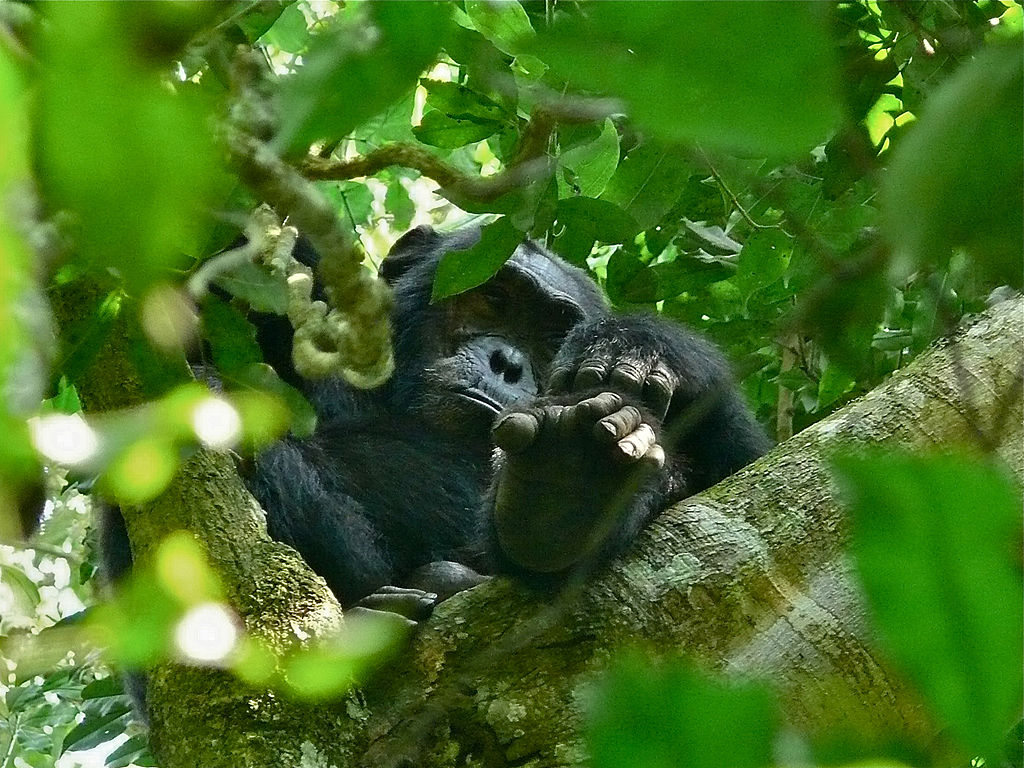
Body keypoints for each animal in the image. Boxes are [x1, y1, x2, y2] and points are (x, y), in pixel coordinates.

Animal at [101, 225, 770, 622]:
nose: (508, 362)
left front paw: (644, 347)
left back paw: (569, 489)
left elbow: (743, 480)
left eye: (551, 333)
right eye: (493, 299)